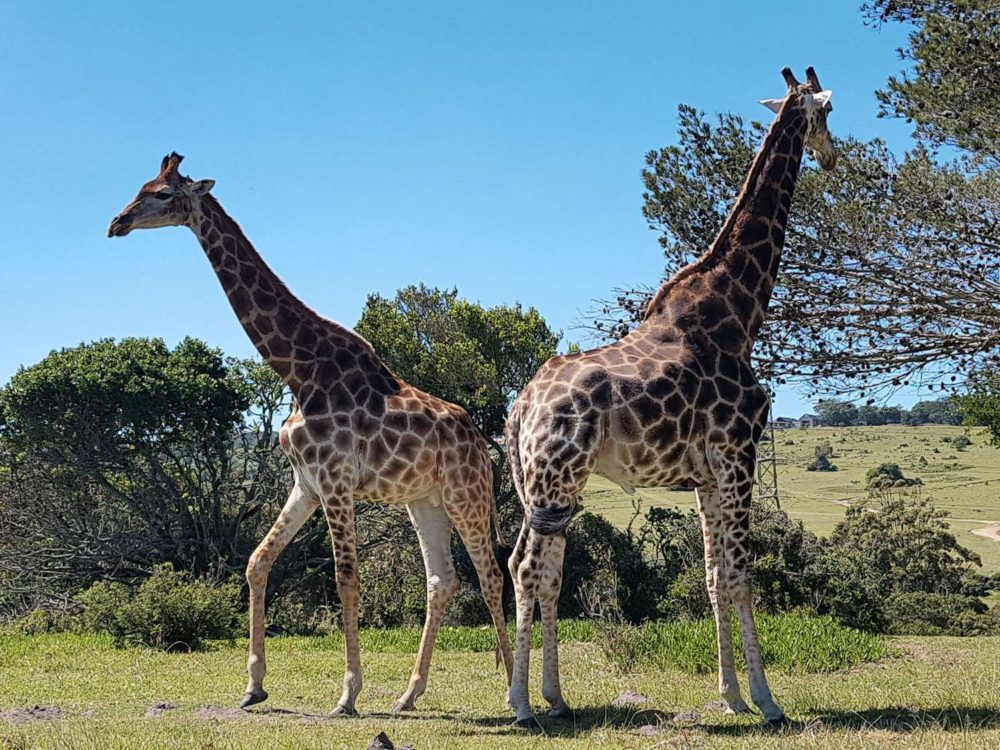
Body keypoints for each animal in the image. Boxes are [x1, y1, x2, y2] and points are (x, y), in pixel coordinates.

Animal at [107, 153, 515, 716]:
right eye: (141, 186)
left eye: (163, 194)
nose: (116, 223)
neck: (297, 372)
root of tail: (482, 445)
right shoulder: (306, 483)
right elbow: (257, 562)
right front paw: (253, 686)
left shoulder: (337, 481)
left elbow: (346, 580)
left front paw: (348, 694)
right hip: (424, 500)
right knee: (442, 580)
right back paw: (409, 695)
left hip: (465, 494)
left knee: (492, 574)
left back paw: (515, 693)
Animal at [504, 67, 837, 728]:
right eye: (829, 114)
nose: (835, 156)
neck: (740, 312)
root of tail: (521, 407)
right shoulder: (739, 456)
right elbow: (740, 577)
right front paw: (768, 702)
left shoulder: (709, 475)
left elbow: (712, 577)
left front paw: (732, 696)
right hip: (555, 476)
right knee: (528, 569)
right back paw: (524, 706)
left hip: (549, 485)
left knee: (541, 570)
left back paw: (554, 696)